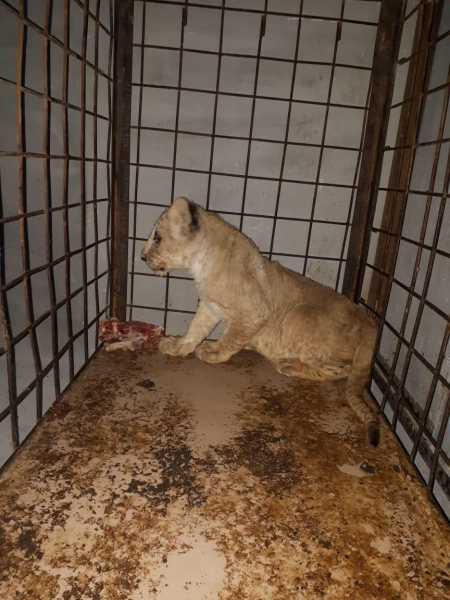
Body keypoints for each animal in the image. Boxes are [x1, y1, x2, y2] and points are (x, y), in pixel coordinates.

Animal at [141, 197, 380, 446]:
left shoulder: (255, 311)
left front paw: (214, 352)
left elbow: (231, 336)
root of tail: (370, 323)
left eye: (157, 239)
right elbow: (196, 328)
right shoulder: (209, 306)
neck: (202, 263)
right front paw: (178, 345)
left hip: (296, 317)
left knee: (341, 370)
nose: (141, 257)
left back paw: (288, 364)